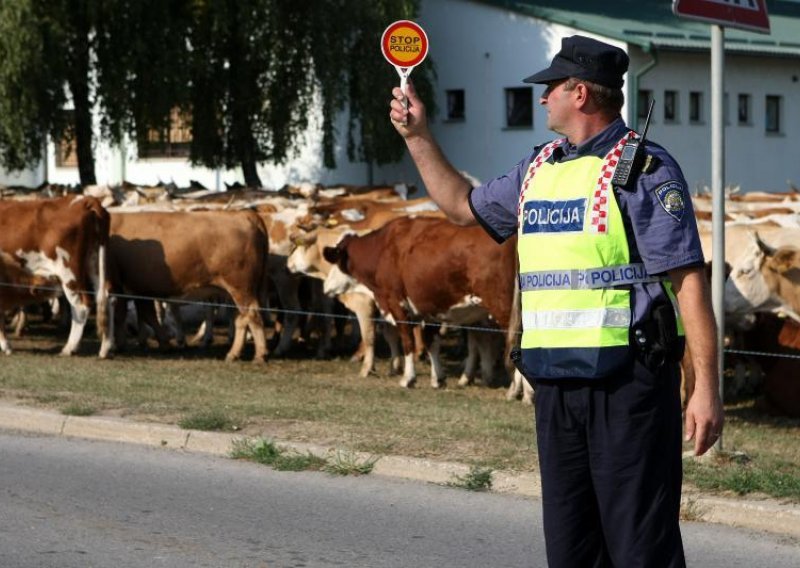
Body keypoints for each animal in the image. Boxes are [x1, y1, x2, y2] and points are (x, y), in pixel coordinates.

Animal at [0, 195, 112, 356]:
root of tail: (85, 200)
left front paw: (6, 345)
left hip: (69, 272)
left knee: (81, 306)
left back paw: (69, 348)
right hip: (95, 263)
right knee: (106, 298)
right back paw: (106, 347)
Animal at [109, 211, 268, 362]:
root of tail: (244, 214)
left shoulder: (120, 287)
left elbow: (123, 316)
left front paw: (119, 345)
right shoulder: (139, 290)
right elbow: (145, 316)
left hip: (241, 288)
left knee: (252, 315)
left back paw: (259, 354)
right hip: (237, 291)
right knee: (241, 318)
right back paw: (235, 353)